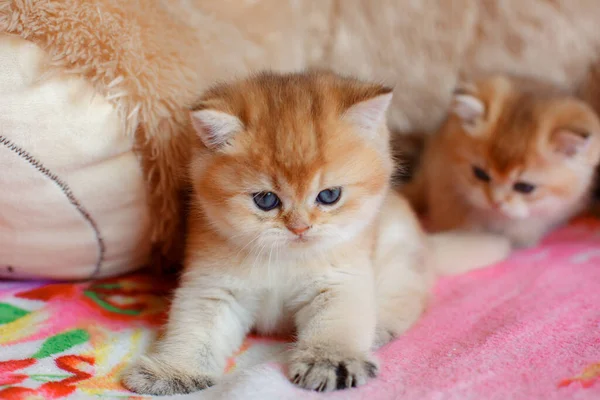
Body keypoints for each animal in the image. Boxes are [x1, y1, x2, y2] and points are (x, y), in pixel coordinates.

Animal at [122, 71, 510, 394]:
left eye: (329, 196)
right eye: (266, 200)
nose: (299, 227)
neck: (286, 258)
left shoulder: (341, 282)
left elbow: (337, 325)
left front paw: (332, 363)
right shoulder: (212, 288)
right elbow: (195, 332)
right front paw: (173, 372)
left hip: (397, 252)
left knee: (406, 298)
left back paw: (379, 329)